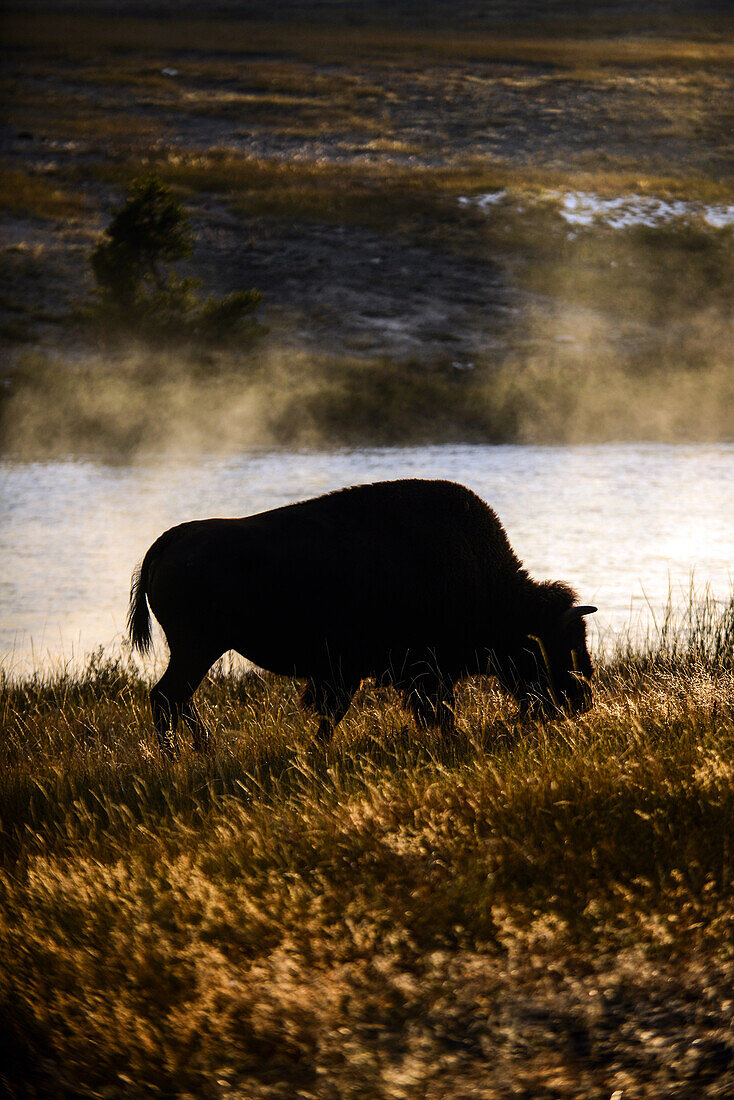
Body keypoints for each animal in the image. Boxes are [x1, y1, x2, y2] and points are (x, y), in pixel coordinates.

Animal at [126, 477, 598, 752]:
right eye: (552, 646)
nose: (579, 701)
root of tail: (170, 539)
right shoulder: (416, 672)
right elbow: (431, 710)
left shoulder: (357, 673)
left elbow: (336, 714)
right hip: (197, 648)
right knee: (167, 697)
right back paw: (177, 757)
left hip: (199, 650)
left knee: (178, 698)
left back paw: (204, 749)